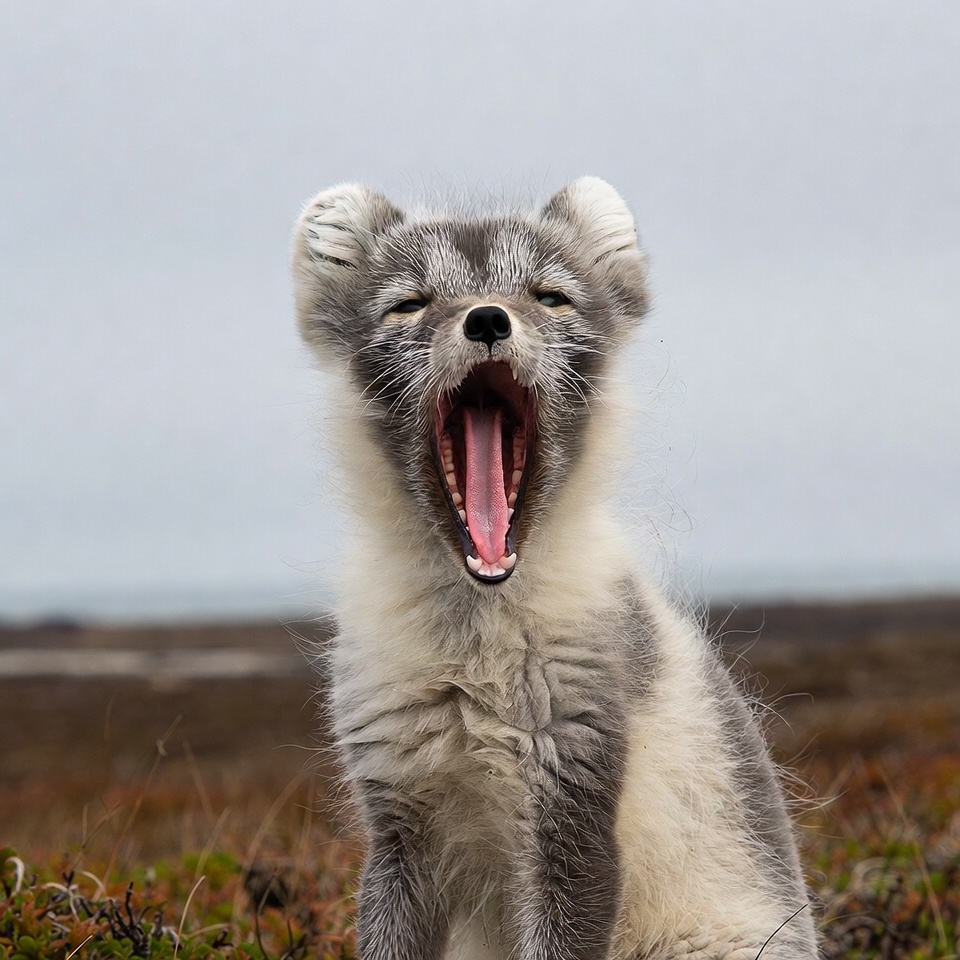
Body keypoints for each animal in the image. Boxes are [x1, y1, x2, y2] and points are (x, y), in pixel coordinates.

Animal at [292, 177, 819, 960]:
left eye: (549, 296)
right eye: (410, 303)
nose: (487, 318)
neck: (473, 643)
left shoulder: (577, 803)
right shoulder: (395, 825)